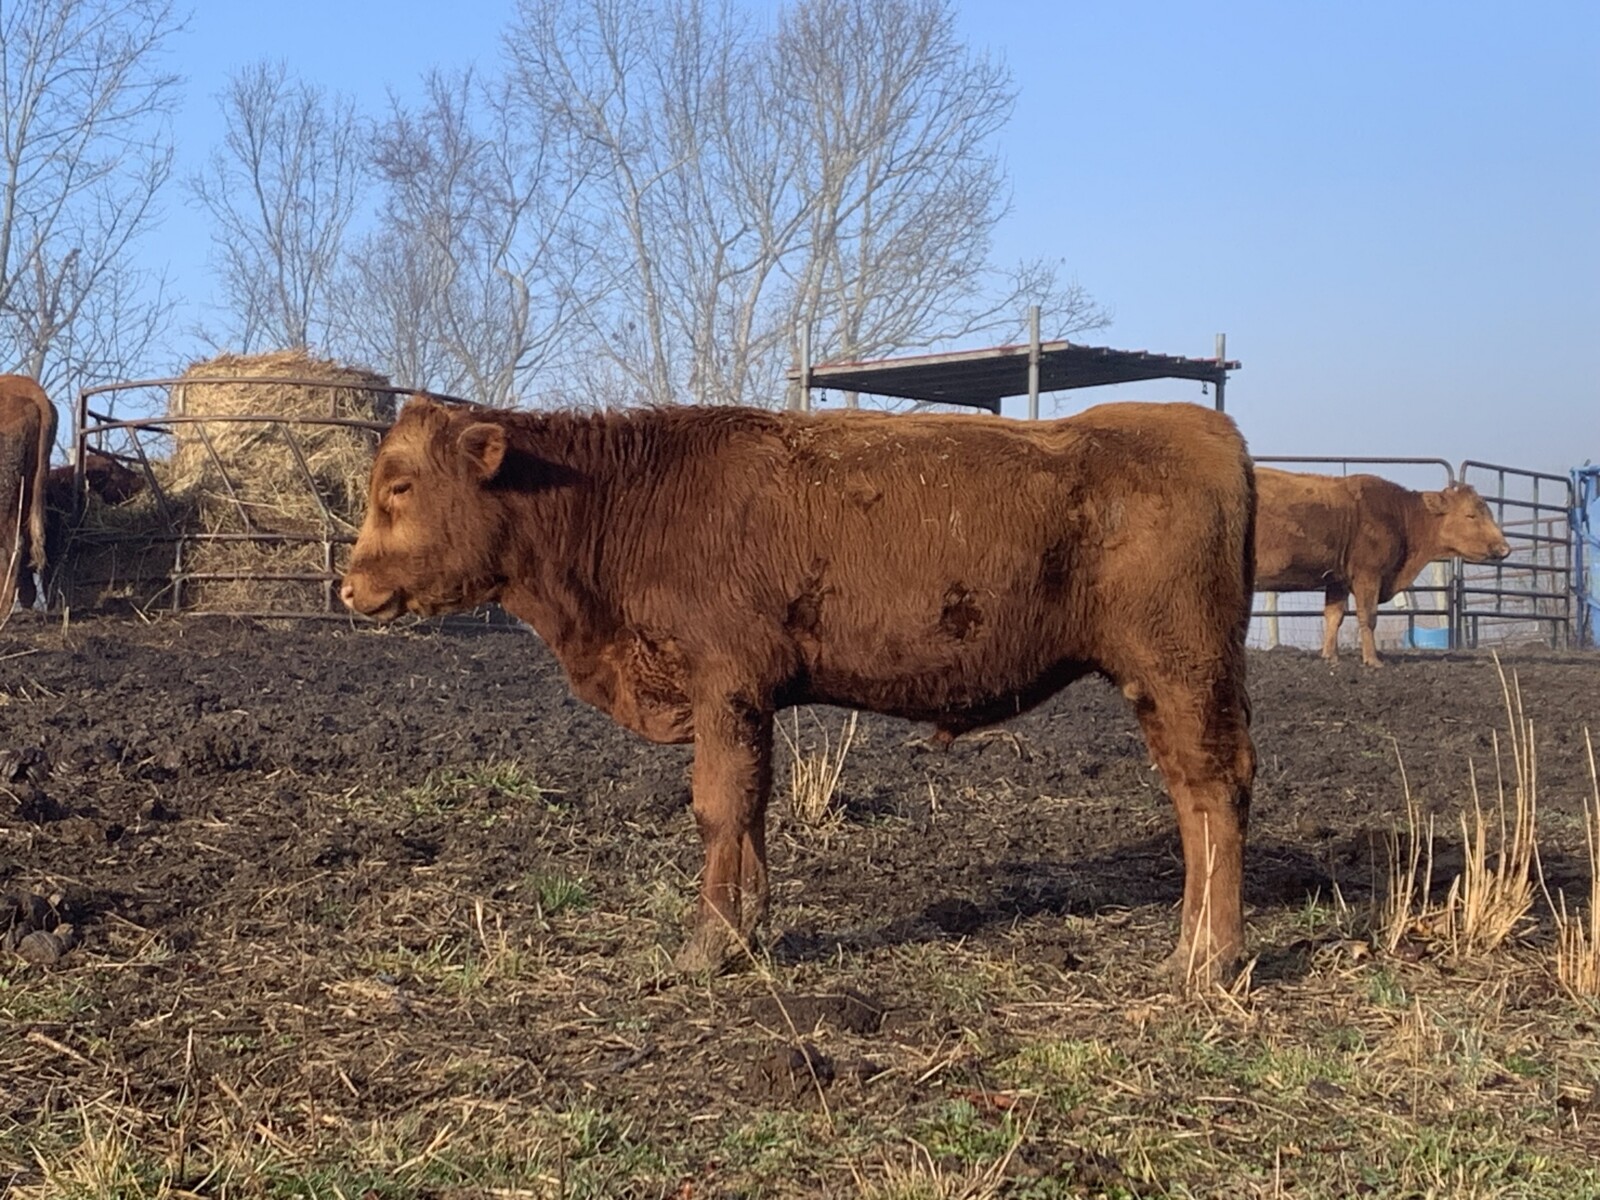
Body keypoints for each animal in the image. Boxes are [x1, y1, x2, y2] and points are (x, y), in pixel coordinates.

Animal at [342, 397, 1258, 982]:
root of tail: (1207, 428)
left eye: (399, 488)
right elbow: (748, 809)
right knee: (1192, 798)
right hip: (1160, 687)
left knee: (1215, 792)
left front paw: (705, 948)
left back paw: (1208, 960)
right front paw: (746, 936)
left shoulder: (724, 690)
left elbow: (717, 807)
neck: (633, 501)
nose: (350, 587)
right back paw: (1188, 947)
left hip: (1184, 672)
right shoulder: (748, 703)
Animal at [1254, 467, 1511, 667]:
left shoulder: (1338, 579)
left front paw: (1330, 657)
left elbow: (1334, 616)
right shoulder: (1369, 574)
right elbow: (1368, 617)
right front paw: (1372, 660)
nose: (1504, 548)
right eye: (1470, 515)